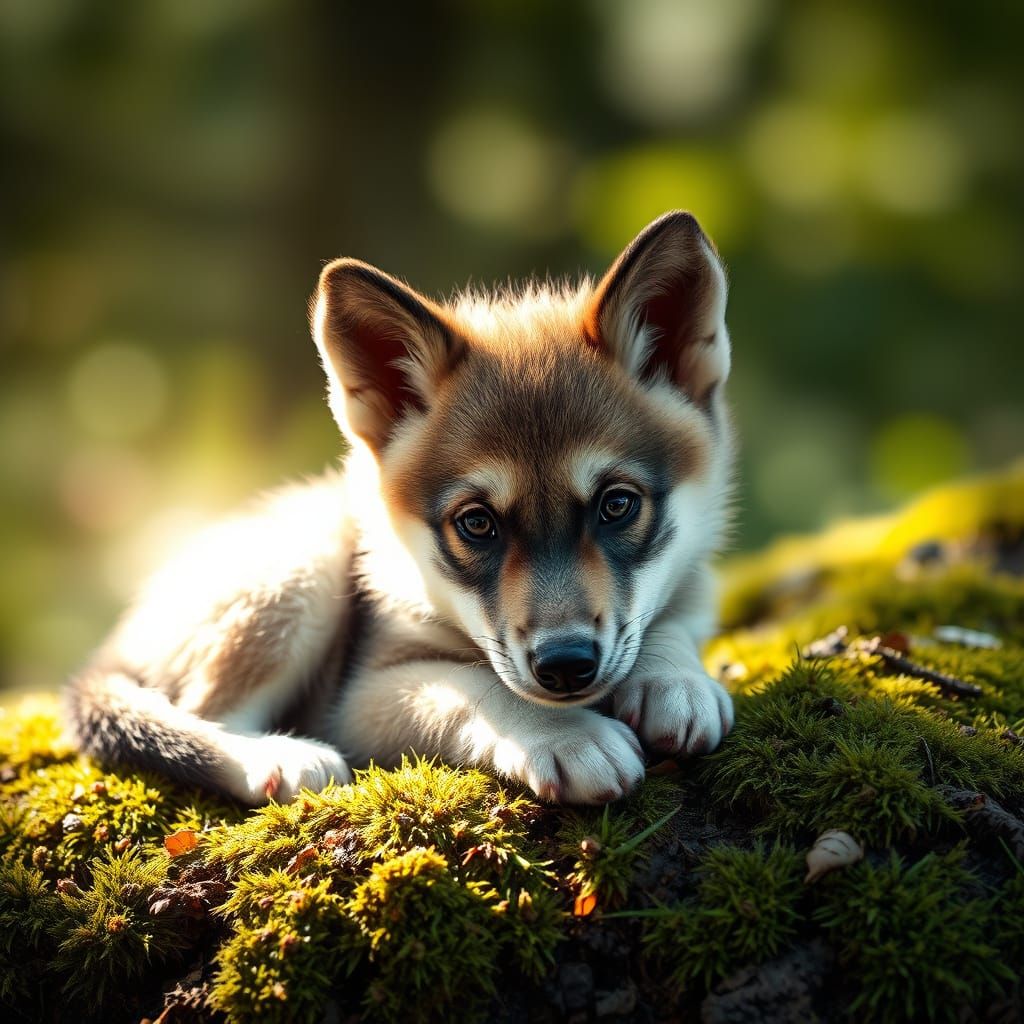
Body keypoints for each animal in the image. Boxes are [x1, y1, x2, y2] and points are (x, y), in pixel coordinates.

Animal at [65, 211, 736, 806]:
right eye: (476, 523)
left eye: (617, 505)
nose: (566, 665)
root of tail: (123, 633)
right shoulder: (359, 696)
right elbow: (477, 688)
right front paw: (565, 737)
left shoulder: (692, 588)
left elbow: (669, 621)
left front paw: (674, 680)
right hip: (298, 574)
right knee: (205, 714)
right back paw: (274, 757)